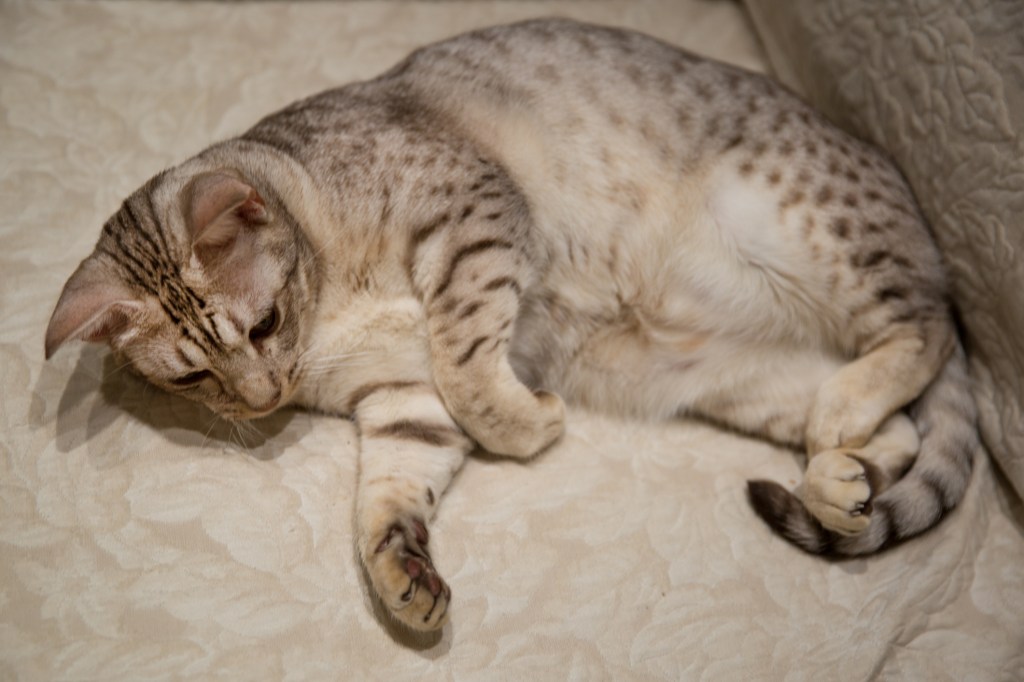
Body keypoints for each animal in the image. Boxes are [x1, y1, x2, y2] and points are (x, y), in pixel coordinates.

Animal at [46, 17, 974, 630]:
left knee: (924, 331)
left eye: (264, 324)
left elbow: (470, 367)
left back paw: (848, 419)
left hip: (808, 223)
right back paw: (839, 479)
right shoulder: (402, 399)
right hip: (745, 380)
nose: (262, 398)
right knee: (893, 434)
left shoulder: (473, 221)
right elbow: (388, 492)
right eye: (193, 376)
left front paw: (532, 421)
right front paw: (402, 574)